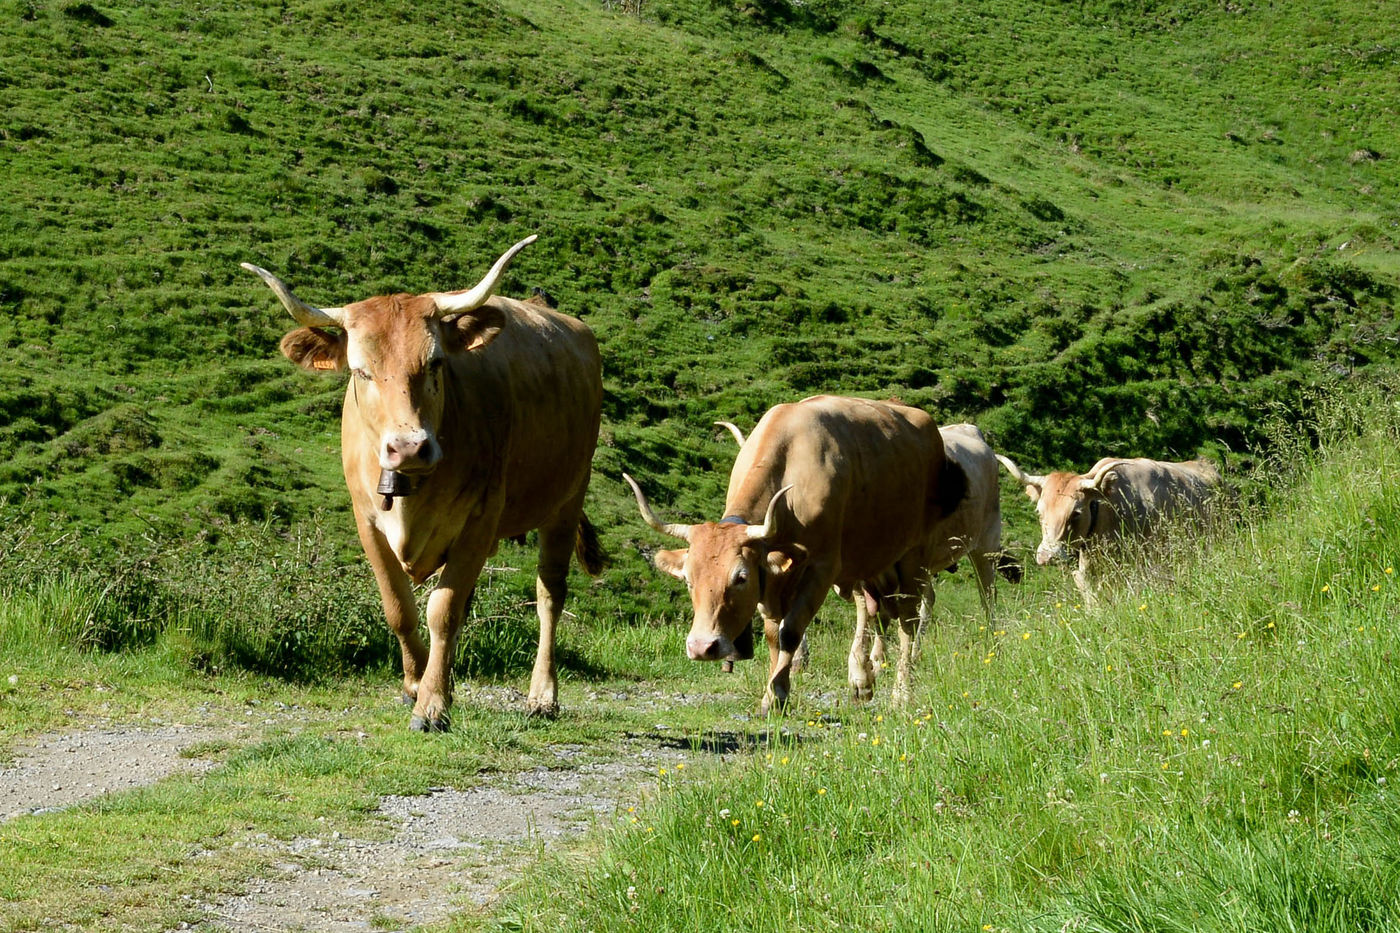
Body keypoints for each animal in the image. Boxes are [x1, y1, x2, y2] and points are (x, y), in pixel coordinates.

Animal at [242, 236, 604, 730]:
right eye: (360, 370)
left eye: (435, 363)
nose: (409, 447)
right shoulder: (367, 521)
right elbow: (399, 608)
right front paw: (416, 684)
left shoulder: (480, 520)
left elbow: (442, 611)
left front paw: (431, 705)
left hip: (567, 499)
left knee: (550, 593)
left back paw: (542, 695)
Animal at [624, 395, 968, 712]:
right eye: (688, 580)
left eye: (740, 577)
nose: (701, 647)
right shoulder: (774, 579)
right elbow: (773, 633)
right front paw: (779, 691)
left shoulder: (822, 567)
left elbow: (790, 631)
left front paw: (773, 696)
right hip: (867, 560)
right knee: (869, 611)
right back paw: (861, 680)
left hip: (913, 557)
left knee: (908, 621)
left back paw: (902, 693)